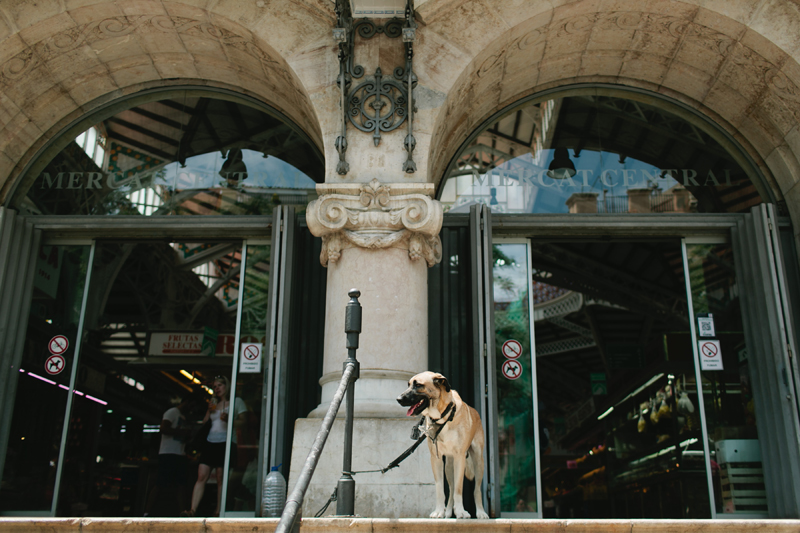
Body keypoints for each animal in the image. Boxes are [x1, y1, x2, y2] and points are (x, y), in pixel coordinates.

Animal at [396, 372, 488, 516]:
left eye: (418, 385)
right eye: (408, 384)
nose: (398, 399)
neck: (441, 417)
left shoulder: (460, 457)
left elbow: (459, 489)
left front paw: (461, 511)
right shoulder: (436, 459)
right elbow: (440, 488)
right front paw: (439, 511)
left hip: (478, 461)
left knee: (476, 489)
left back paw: (480, 513)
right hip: (449, 466)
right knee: (451, 489)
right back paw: (449, 511)